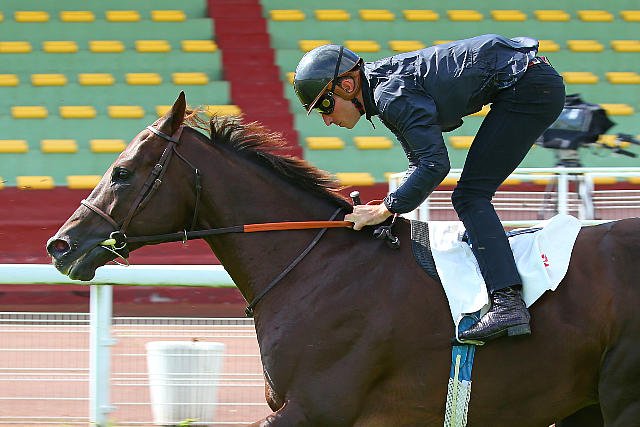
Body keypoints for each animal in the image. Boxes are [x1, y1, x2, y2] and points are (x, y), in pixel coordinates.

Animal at [47, 92, 640, 426]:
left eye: (122, 172)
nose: (61, 245)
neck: (315, 264)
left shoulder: (315, 406)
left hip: (619, 399)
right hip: (584, 406)